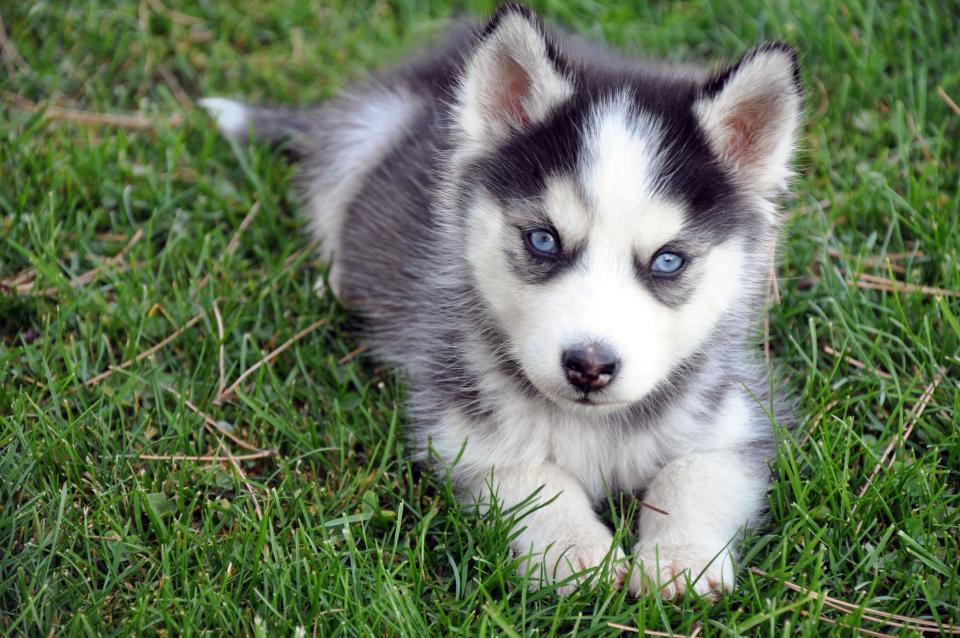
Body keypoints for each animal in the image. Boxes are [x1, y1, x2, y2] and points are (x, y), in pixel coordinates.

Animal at [199, 3, 800, 600]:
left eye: (668, 261)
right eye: (543, 240)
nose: (589, 366)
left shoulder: (734, 416)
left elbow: (694, 473)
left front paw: (681, 558)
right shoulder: (462, 426)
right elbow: (534, 477)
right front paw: (577, 552)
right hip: (363, 135)